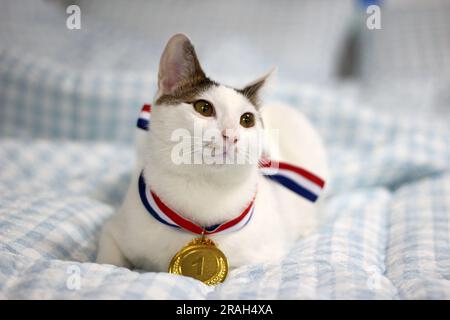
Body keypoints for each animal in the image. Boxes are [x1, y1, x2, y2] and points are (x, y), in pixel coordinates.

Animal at [96, 33, 328, 272]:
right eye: (204, 108)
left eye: (247, 119)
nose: (231, 135)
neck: (204, 189)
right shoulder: (113, 231)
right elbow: (107, 262)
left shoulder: (265, 255)